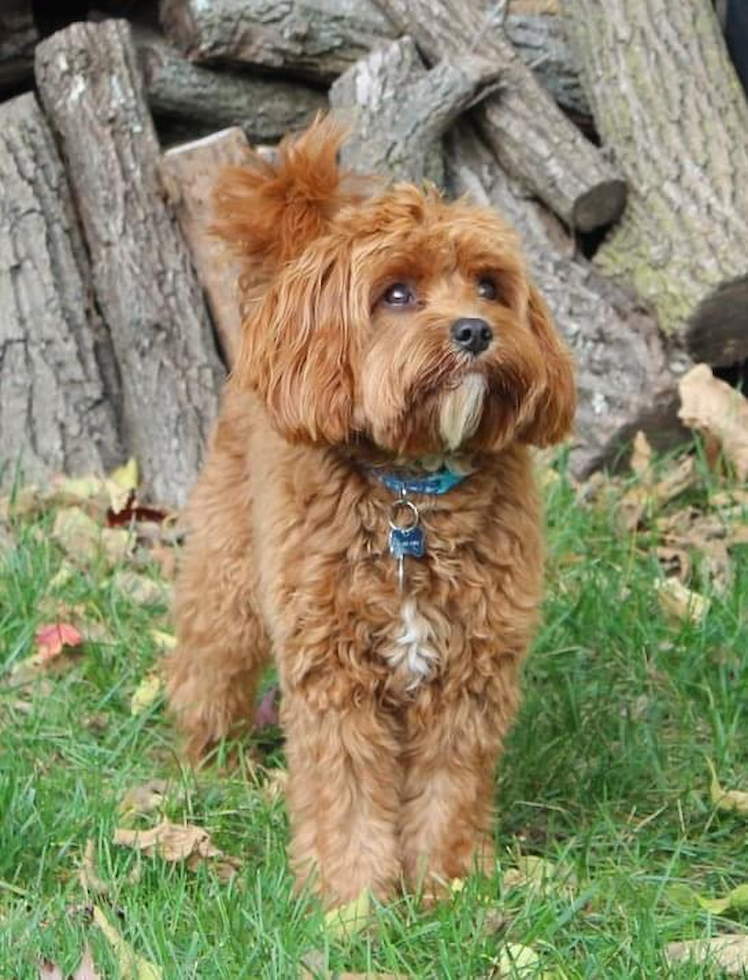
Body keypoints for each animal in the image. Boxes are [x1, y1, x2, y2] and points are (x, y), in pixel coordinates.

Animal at [167, 118, 576, 908]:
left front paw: (447, 890)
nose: (475, 330)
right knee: (207, 663)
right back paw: (211, 765)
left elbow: (450, 788)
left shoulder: (469, 677)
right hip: (230, 571)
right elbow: (347, 794)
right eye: (396, 293)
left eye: (490, 285)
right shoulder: (335, 677)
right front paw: (350, 905)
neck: (411, 497)